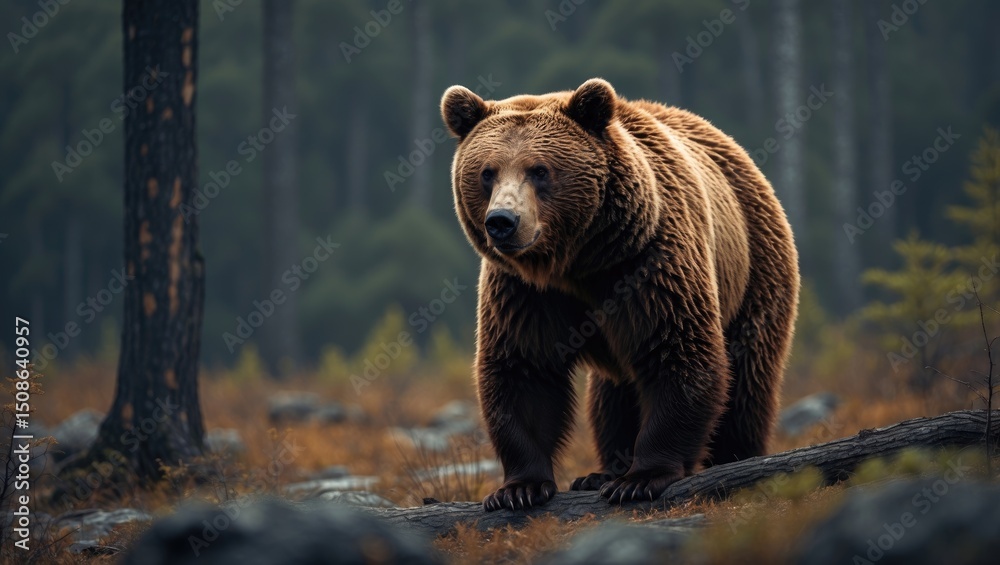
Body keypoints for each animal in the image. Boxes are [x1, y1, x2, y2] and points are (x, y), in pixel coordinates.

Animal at [440, 78, 799, 511]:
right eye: (486, 172)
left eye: (540, 170)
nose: (502, 222)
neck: (578, 262)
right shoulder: (524, 293)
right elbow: (524, 369)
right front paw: (519, 488)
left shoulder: (648, 263)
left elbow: (676, 351)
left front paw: (642, 478)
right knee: (613, 395)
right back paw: (602, 471)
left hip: (754, 268)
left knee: (748, 376)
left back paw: (736, 457)